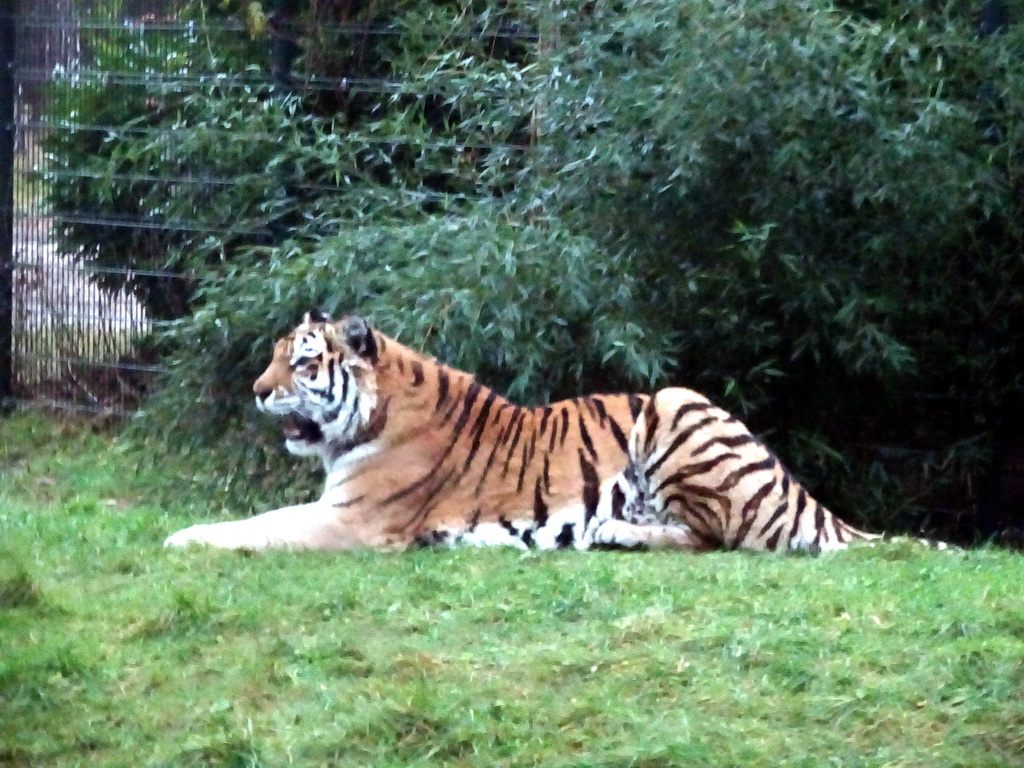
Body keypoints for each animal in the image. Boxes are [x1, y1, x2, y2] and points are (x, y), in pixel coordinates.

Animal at [159, 311, 897, 552]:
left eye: (302, 362)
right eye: (276, 354)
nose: (257, 390)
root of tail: (806, 498)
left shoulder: (353, 521)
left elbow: (259, 529)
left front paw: (182, 539)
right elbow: (262, 519)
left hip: (675, 403)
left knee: (714, 539)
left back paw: (614, 533)